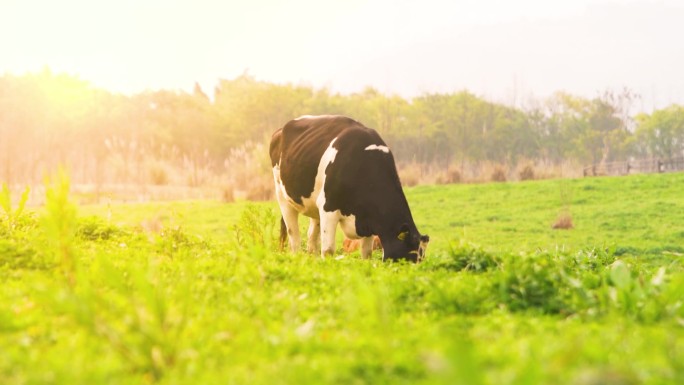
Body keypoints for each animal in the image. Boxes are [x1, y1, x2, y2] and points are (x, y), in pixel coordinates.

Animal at [268, 114, 428, 260]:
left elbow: (366, 253)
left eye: (421, 258)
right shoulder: (328, 208)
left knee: (312, 238)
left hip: (314, 206)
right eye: (410, 256)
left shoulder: (369, 219)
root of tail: (280, 130)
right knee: (293, 236)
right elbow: (328, 250)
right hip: (283, 196)